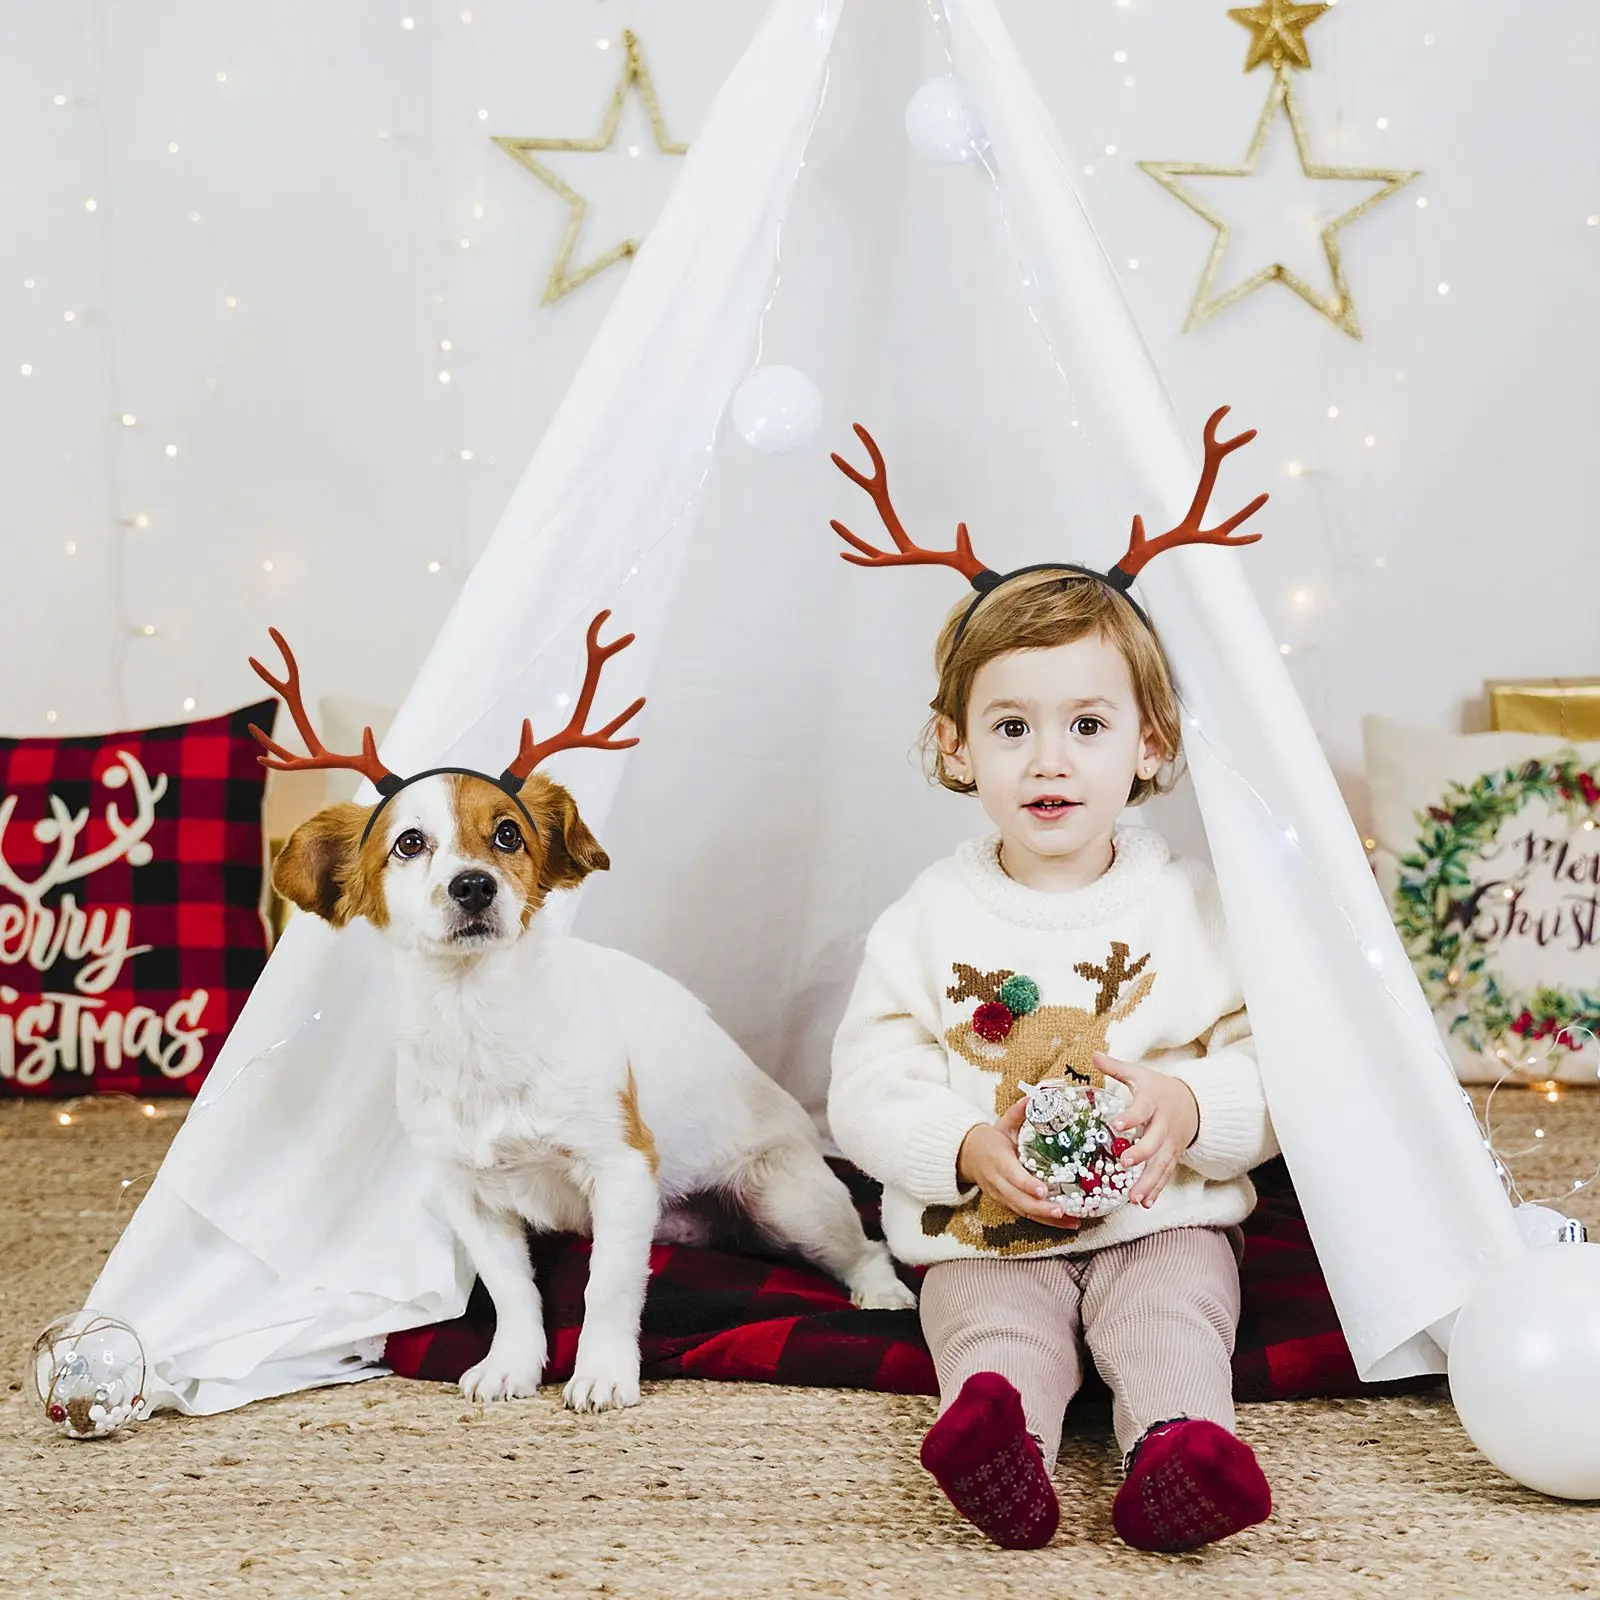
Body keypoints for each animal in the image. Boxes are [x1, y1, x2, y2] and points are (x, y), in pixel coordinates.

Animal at [260, 614, 915, 1414]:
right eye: (409, 844)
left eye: (508, 834)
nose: (473, 886)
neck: (478, 1022)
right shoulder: (469, 1197)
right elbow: (514, 1293)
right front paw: (512, 1364)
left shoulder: (622, 1171)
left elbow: (607, 1288)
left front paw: (602, 1371)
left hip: (787, 1197)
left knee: (863, 1247)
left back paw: (883, 1292)